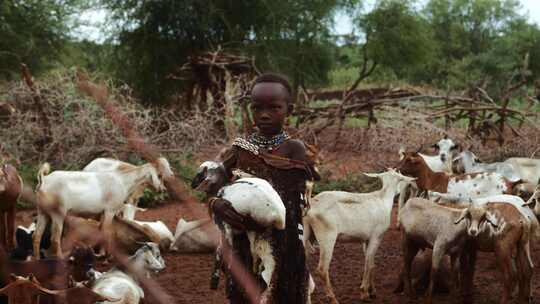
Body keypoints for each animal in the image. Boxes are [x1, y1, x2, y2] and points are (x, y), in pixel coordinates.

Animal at [33, 162, 165, 258]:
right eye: (159, 175)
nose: (162, 189)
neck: (122, 181)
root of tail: (44, 180)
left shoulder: (102, 213)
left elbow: (101, 231)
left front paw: (100, 252)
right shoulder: (110, 211)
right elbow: (106, 232)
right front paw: (107, 255)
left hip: (42, 212)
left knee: (36, 236)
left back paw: (37, 259)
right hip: (58, 214)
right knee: (55, 239)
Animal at [302, 167, 416, 302]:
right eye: (400, 179)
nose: (398, 191)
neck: (382, 198)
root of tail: (311, 205)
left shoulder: (366, 240)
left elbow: (371, 263)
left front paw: (372, 291)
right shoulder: (377, 236)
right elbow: (368, 264)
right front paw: (364, 293)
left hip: (306, 235)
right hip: (327, 237)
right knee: (322, 269)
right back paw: (333, 298)